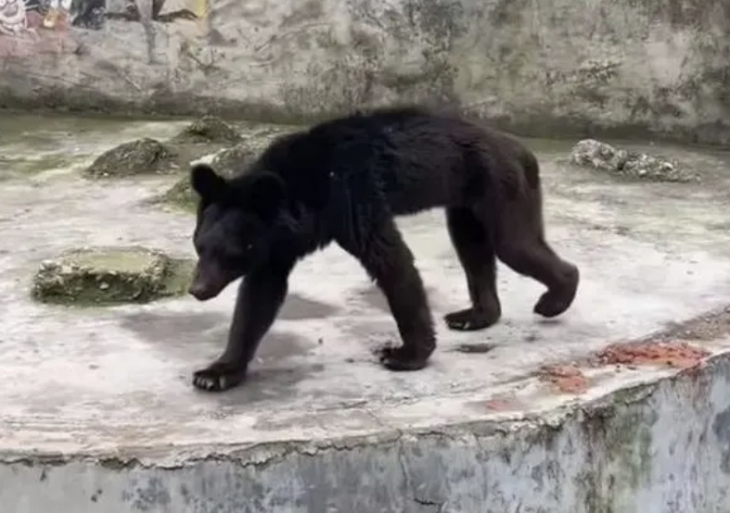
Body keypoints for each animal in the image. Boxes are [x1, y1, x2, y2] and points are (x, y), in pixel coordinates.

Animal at [188, 105, 580, 392]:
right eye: (199, 246)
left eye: (230, 252)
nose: (197, 289)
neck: (305, 191)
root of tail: (522, 149)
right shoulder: (276, 245)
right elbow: (259, 295)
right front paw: (215, 372)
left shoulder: (351, 196)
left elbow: (390, 260)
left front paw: (404, 354)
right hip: (467, 200)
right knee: (473, 247)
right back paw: (475, 314)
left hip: (499, 184)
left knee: (514, 244)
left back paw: (555, 297)